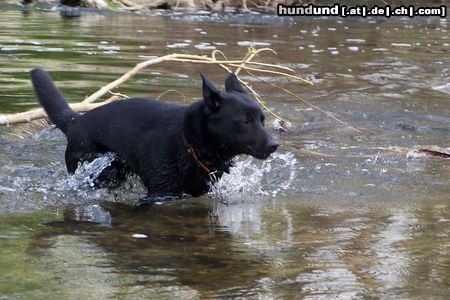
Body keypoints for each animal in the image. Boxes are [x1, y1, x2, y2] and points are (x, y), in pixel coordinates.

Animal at [29, 69, 278, 200]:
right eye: (245, 121)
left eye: (262, 120)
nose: (275, 145)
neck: (190, 142)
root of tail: (75, 120)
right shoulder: (158, 194)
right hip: (100, 171)